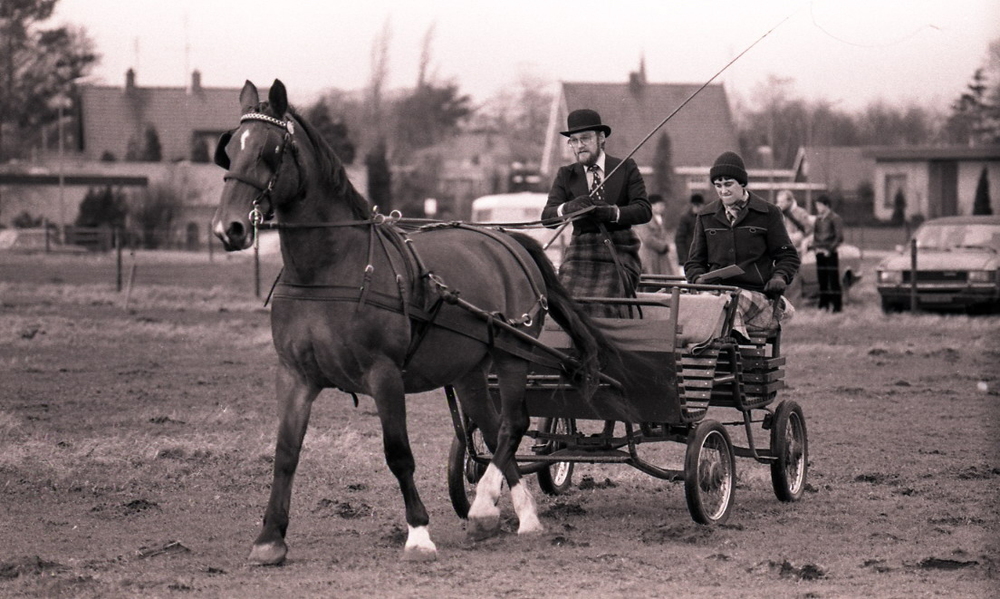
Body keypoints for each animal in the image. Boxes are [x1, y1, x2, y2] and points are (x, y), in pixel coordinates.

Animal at [211, 79, 612, 564]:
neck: (328, 268)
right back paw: (510, 514)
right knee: (493, 425)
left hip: (512, 355)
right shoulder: (294, 374)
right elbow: (286, 452)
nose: (228, 228)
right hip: (469, 368)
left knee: (512, 425)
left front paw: (419, 533)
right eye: (230, 148)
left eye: (271, 150)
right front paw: (270, 538)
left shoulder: (383, 374)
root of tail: (509, 241)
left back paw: (486, 508)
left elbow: (398, 453)